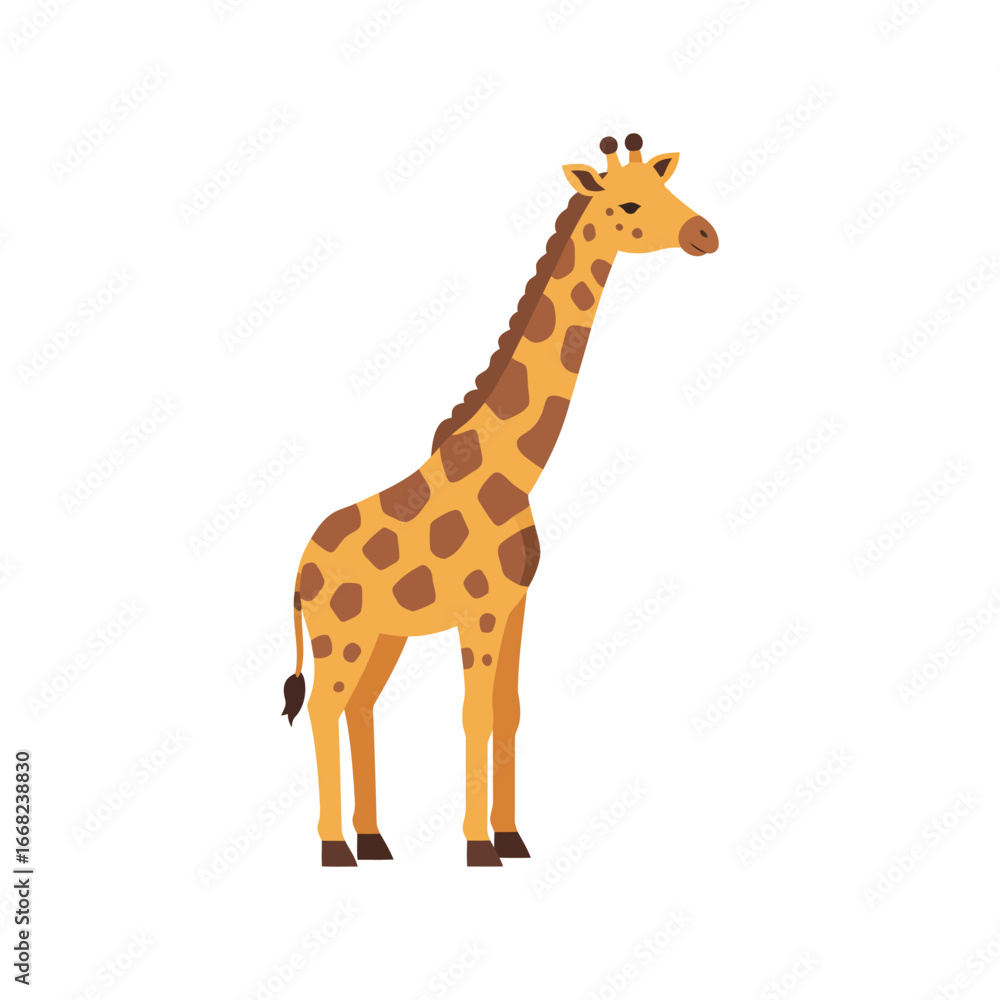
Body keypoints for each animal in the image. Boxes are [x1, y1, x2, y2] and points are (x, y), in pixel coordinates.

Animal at [282, 133, 719, 867]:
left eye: (668, 189)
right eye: (630, 204)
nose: (705, 234)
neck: (514, 471)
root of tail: (300, 569)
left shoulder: (515, 605)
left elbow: (508, 710)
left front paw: (511, 838)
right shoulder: (478, 611)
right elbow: (474, 713)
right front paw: (477, 846)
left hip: (382, 636)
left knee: (359, 708)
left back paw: (374, 840)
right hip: (336, 636)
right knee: (322, 709)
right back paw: (335, 847)